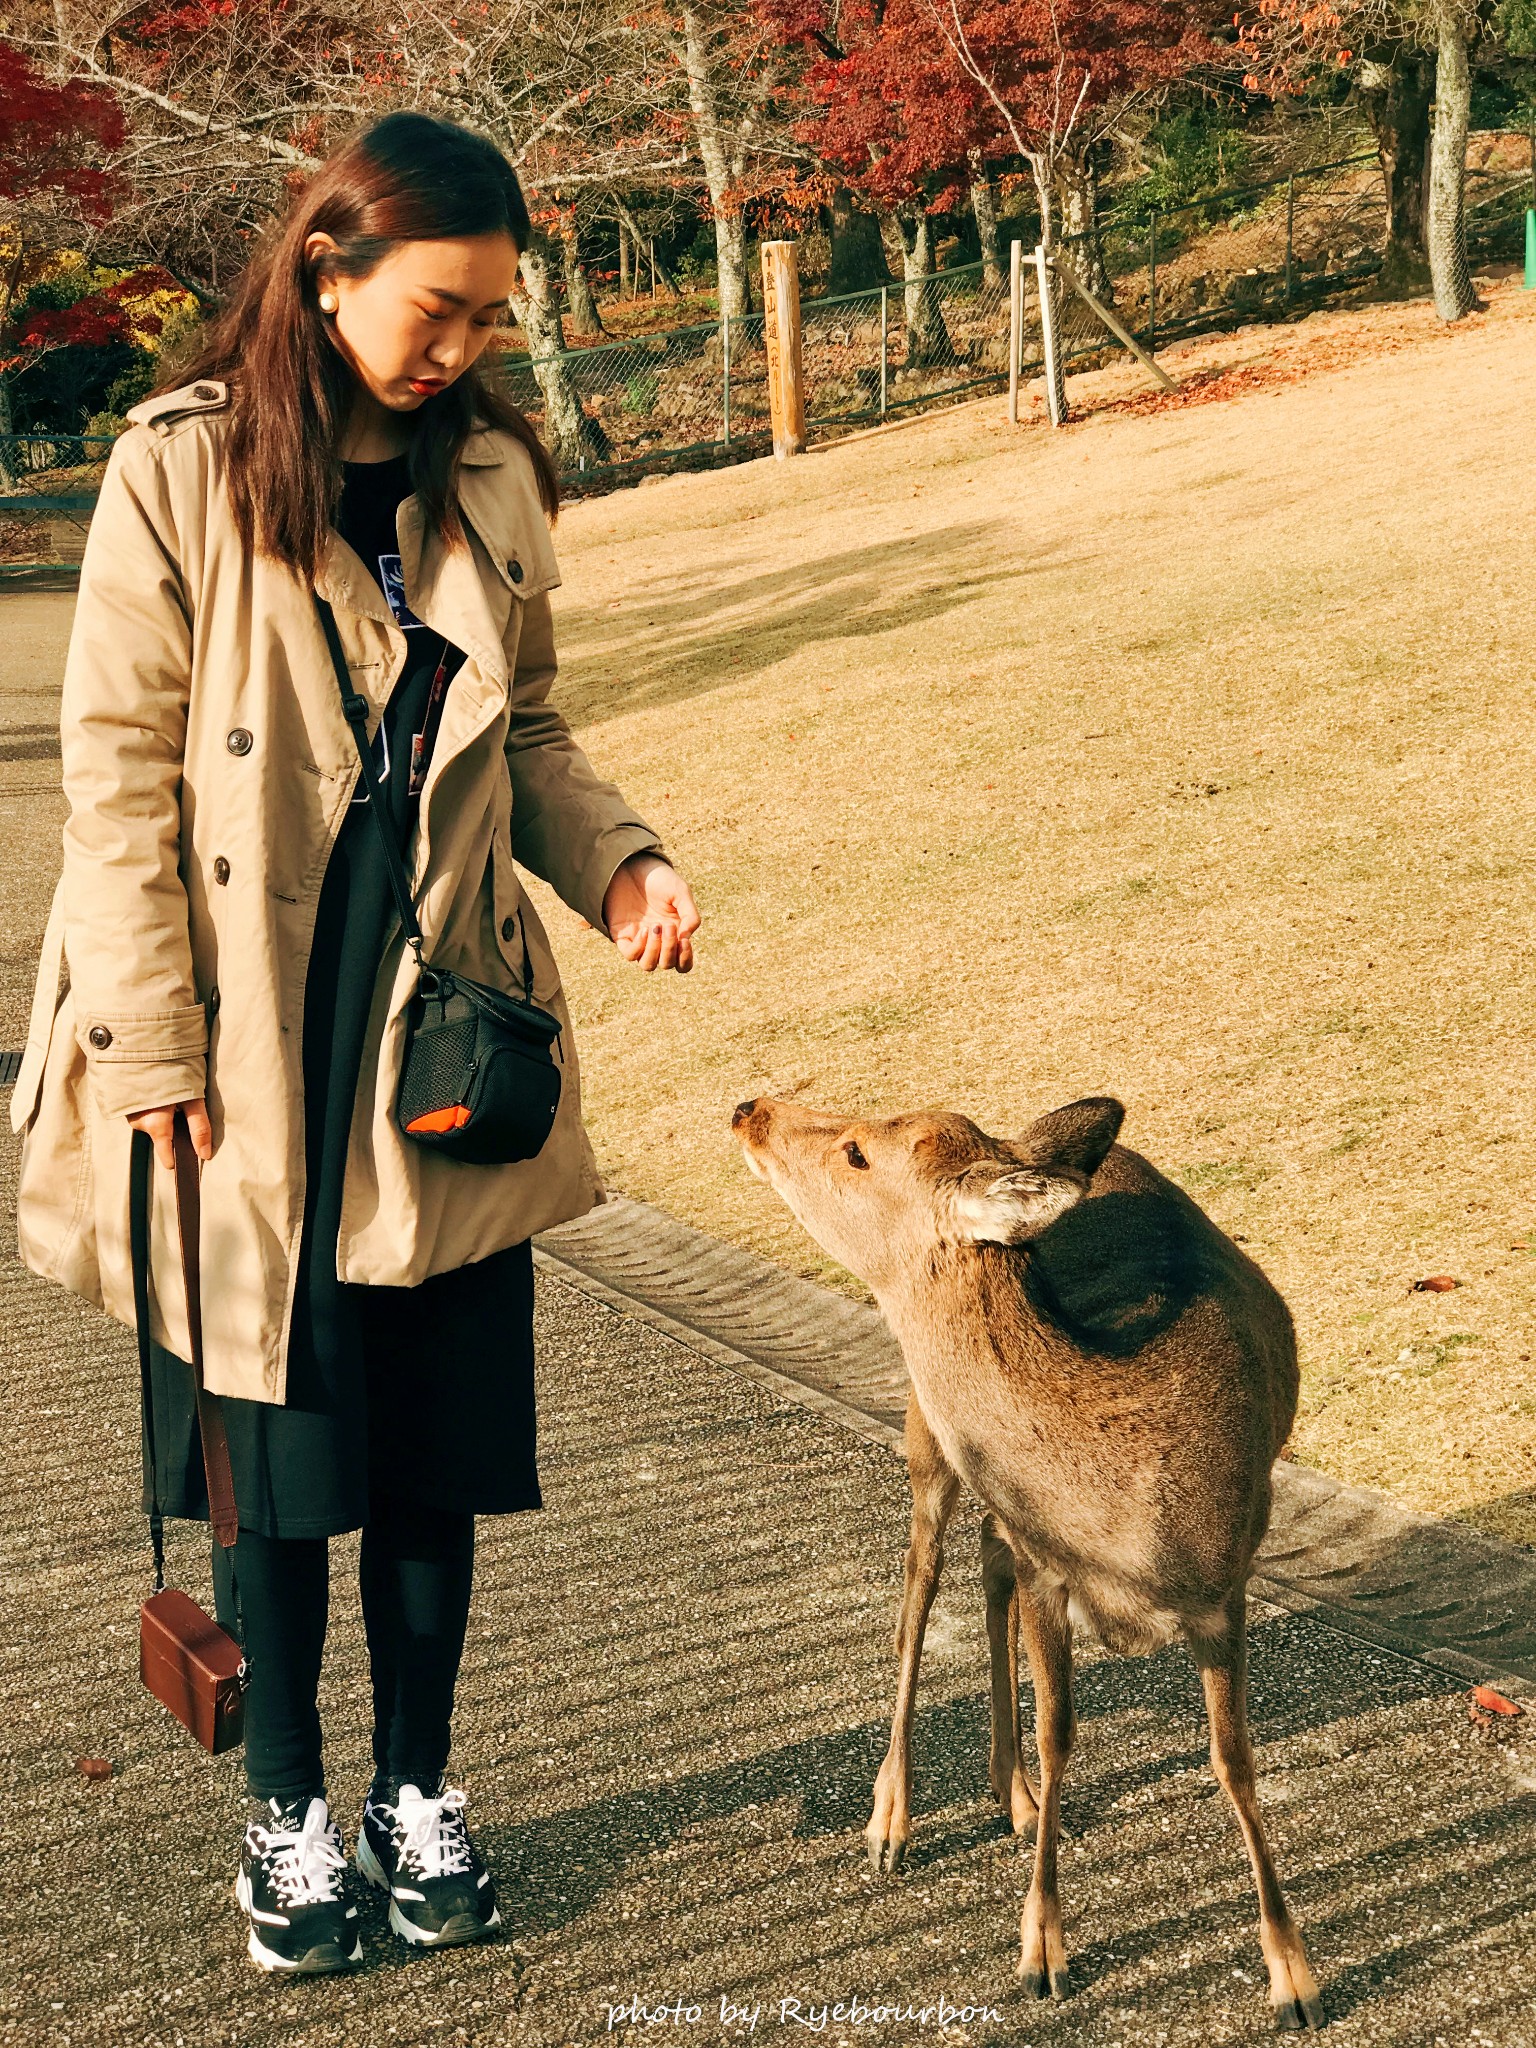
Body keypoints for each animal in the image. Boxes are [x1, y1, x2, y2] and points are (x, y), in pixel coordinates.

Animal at [733, 1097, 1327, 2023]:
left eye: (858, 1151)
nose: (749, 1109)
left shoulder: (1227, 1580)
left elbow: (1234, 1763)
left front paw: (1292, 1975)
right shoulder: (1053, 1570)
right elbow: (1061, 1734)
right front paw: (1041, 1950)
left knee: (987, 1555)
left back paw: (1009, 1794)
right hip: (926, 1429)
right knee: (919, 1583)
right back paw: (891, 1819)